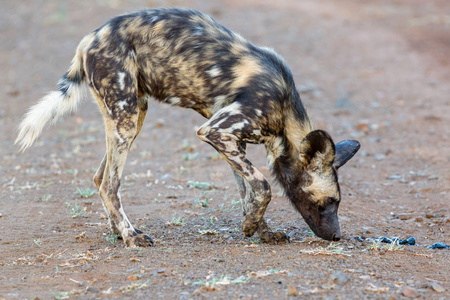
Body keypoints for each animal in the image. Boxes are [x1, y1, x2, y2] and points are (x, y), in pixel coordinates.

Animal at [16, 8, 358, 247]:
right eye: (328, 202)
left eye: (337, 203)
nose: (337, 236)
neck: (285, 113)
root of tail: (91, 37)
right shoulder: (216, 131)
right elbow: (262, 186)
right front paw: (251, 227)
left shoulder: (232, 141)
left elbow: (248, 192)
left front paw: (260, 230)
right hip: (126, 116)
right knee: (109, 185)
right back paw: (131, 237)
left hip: (132, 116)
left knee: (101, 178)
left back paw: (119, 231)